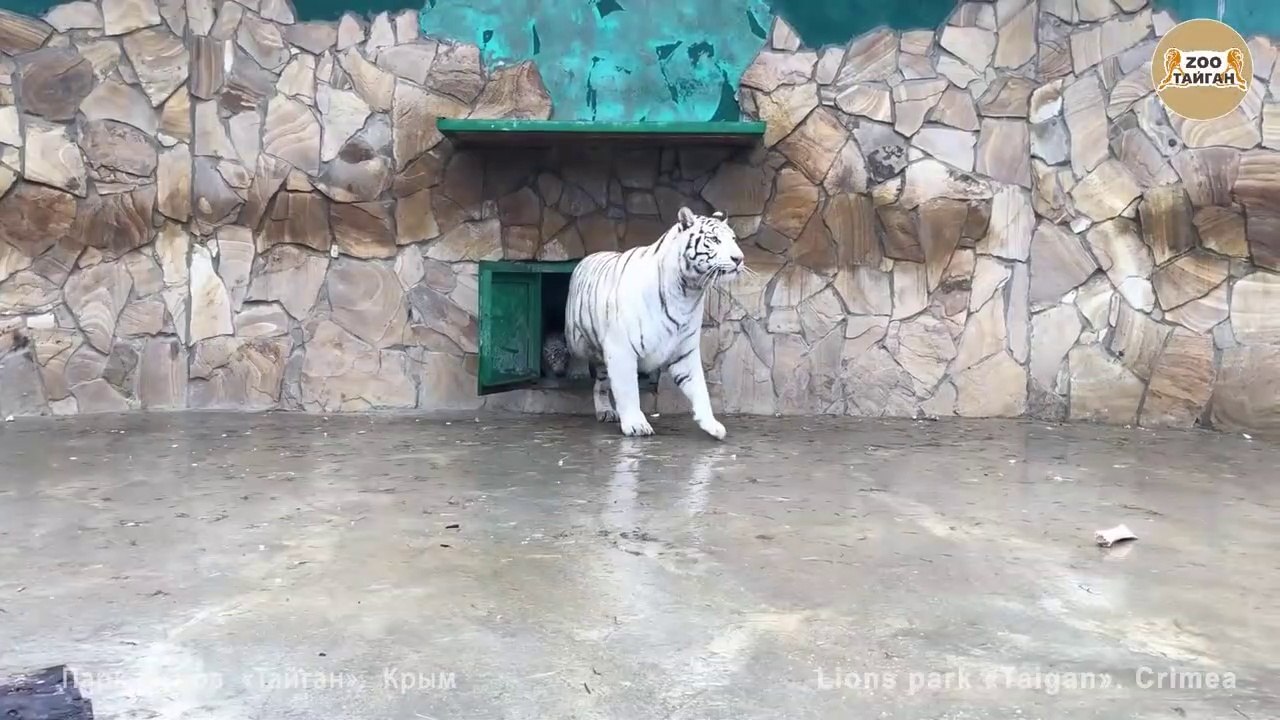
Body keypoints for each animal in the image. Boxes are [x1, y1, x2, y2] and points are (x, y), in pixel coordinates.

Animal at [564, 206, 745, 440]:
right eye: (714, 239)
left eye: (733, 239)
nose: (739, 258)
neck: (688, 292)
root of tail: (590, 255)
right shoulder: (621, 349)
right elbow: (628, 389)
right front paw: (636, 425)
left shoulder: (684, 351)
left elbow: (700, 389)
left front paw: (712, 425)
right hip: (577, 338)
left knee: (601, 385)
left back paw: (605, 411)